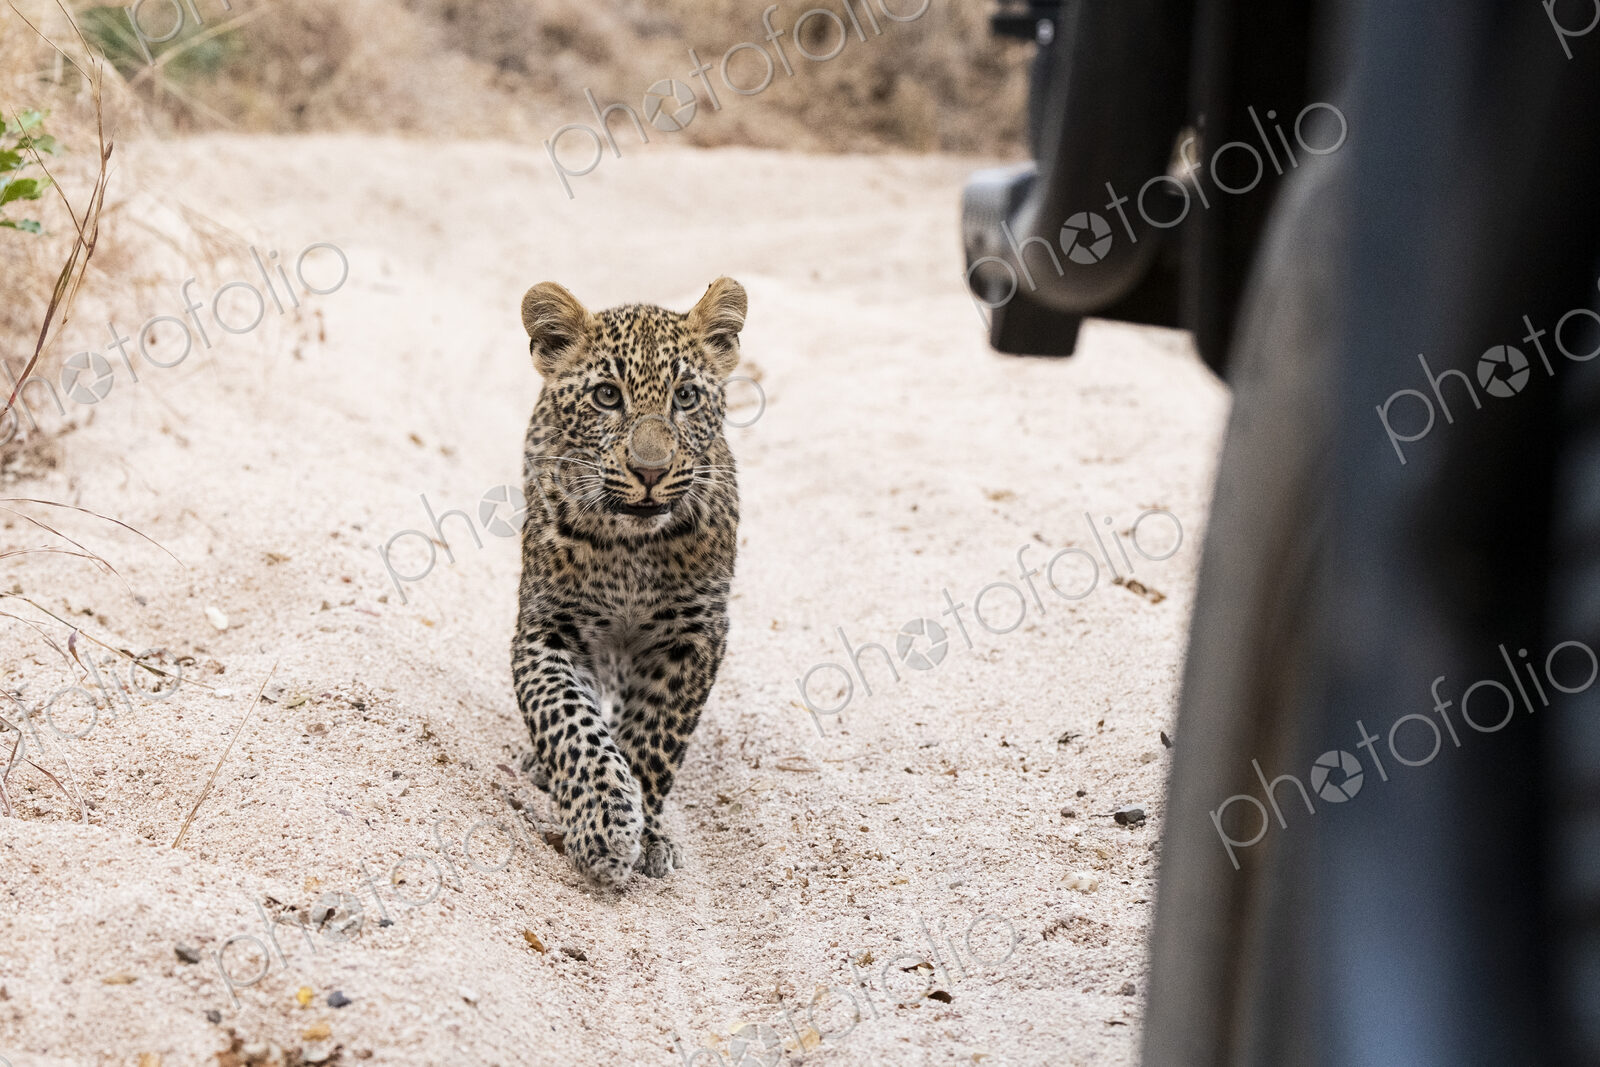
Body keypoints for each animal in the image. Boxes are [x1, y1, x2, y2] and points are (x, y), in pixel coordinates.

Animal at [509, 277, 745, 888]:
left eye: (684, 397)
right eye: (607, 397)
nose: (650, 471)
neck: (631, 554)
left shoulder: (696, 636)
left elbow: (654, 739)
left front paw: (645, 830)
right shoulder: (547, 630)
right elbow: (571, 723)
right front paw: (604, 824)